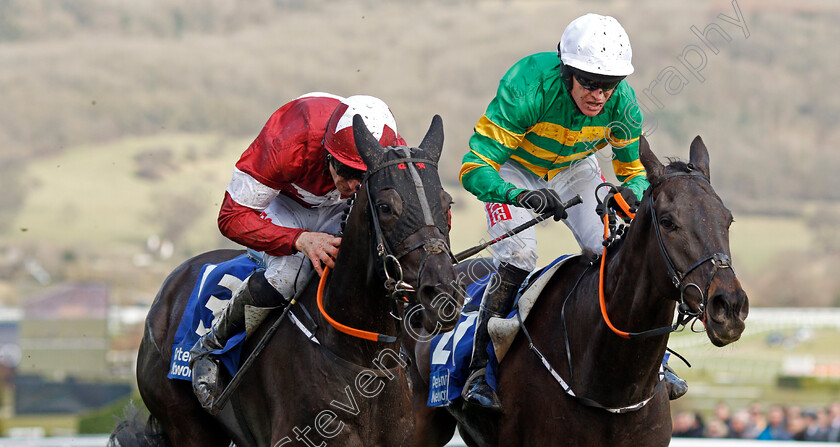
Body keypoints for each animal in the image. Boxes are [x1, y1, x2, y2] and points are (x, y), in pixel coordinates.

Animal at [110, 116, 460, 447]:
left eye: (447, 204)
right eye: (386, 207)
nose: (441, 292)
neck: (359, 357)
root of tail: (167, 291)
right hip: (186, 426)